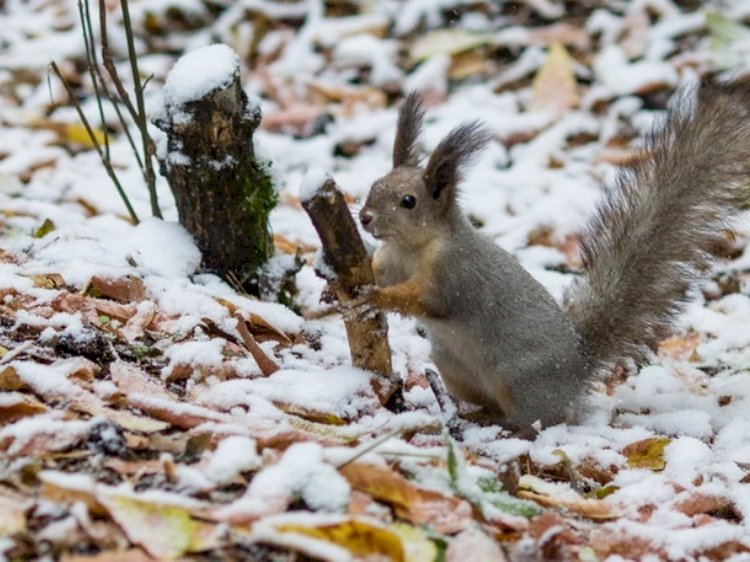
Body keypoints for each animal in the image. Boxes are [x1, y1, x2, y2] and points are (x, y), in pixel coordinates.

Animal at [356, 79, 750, 426]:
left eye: (409, 201)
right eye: (374, 185)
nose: (364, 217)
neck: (412, 247)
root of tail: (578, 367)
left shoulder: (454, 273)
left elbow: (426, 299)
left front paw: (375, 298)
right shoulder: (391, 260)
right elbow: (380, 271)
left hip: (517, 381)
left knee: (535, 420)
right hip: (453, 366)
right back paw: (475, 414)